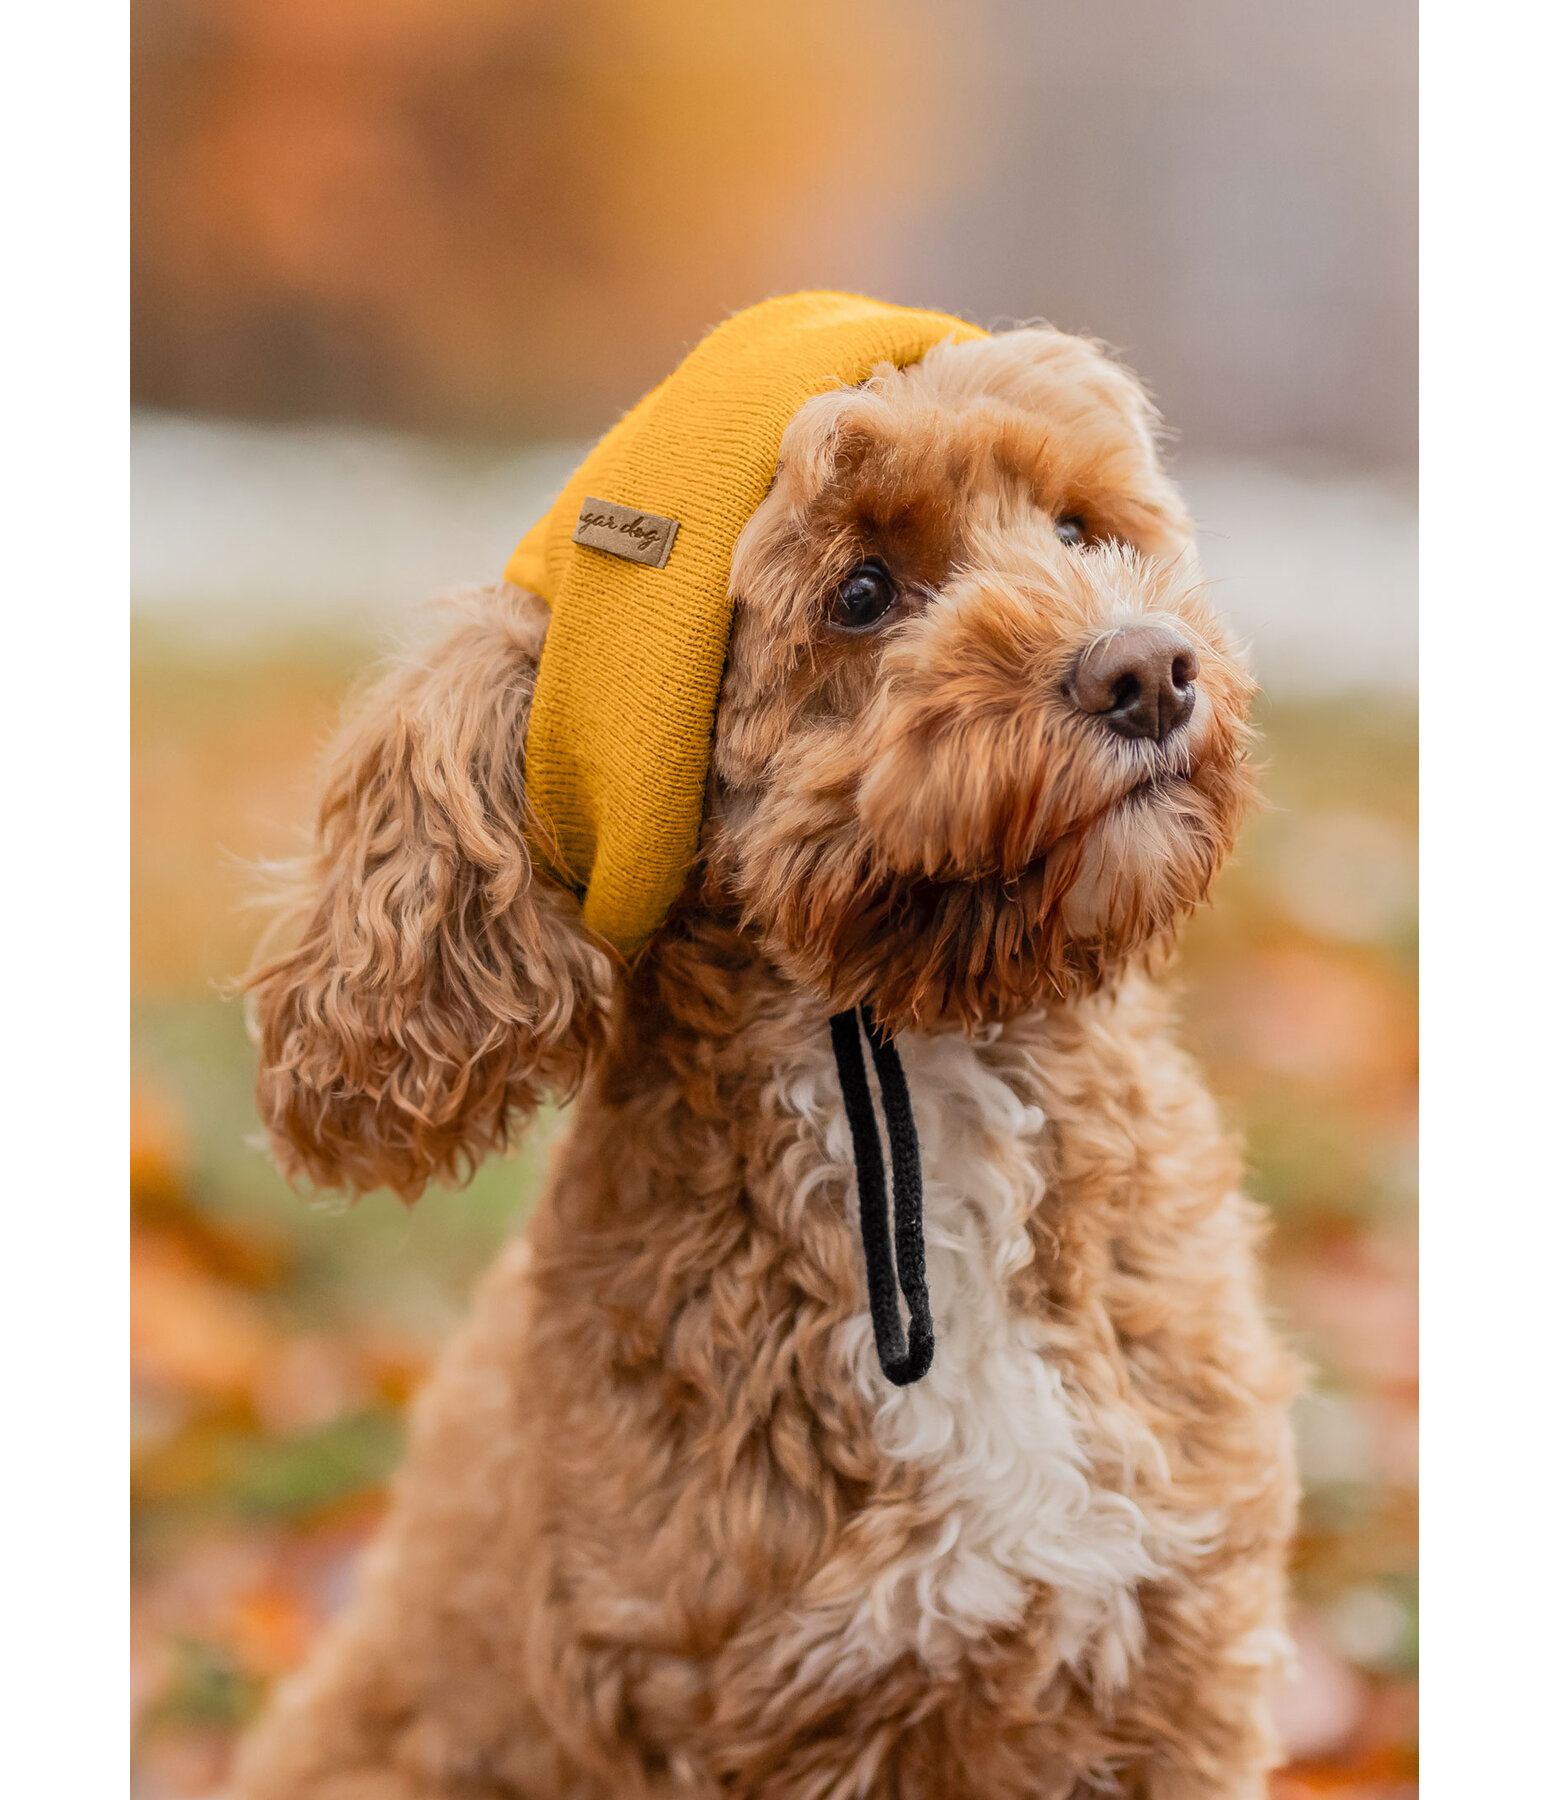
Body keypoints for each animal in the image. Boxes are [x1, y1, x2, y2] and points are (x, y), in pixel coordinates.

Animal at [232, 324, 1296, 1800]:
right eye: (860, 592)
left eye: (1079, 530)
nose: (1146, 669)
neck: (923, 1057)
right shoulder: (737, 1701)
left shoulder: (1173, 1665)